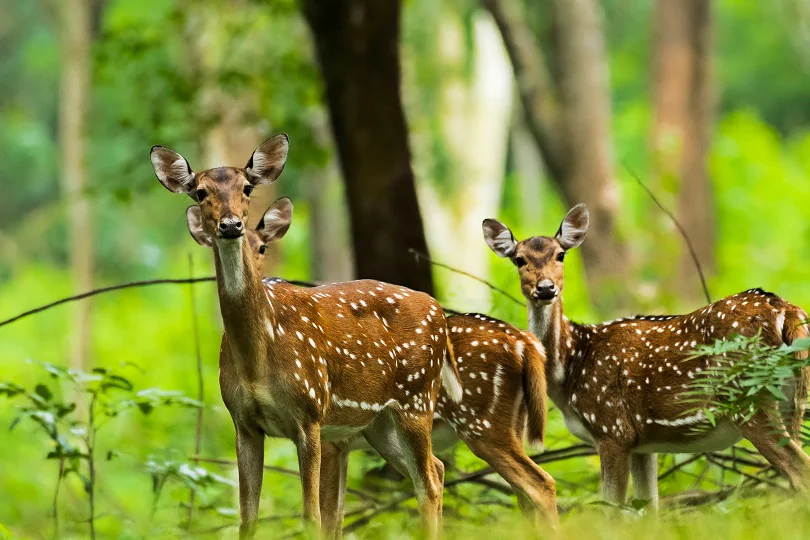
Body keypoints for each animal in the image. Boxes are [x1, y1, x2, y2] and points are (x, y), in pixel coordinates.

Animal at [149, 134, 460, 536]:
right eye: (200, 192)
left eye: (246, 187)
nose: (231, 225)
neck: (257, 359)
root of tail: (439, 311)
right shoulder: (243, 422)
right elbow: (247, 520)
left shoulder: (309, 413)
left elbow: (312, 517)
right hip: (380, 423)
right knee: (436, 470)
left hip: (416, 399)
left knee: (429, 483)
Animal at [196, 212, 560, 532]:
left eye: (263, 248)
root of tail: (525, 342)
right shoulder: (336, 442)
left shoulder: (327, 439)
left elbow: (327, 517)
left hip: (481, 424)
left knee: (537, 483)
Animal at [480, 205, 808, 508]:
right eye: (519, 259)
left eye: (560, 254)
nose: (546, 288)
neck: (570, 365)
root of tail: (787, 309)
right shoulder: (643, 444)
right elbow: (648, 510)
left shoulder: (612, 429)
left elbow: (611, 510)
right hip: (793, 402)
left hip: (749, 399)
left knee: (800, 472)